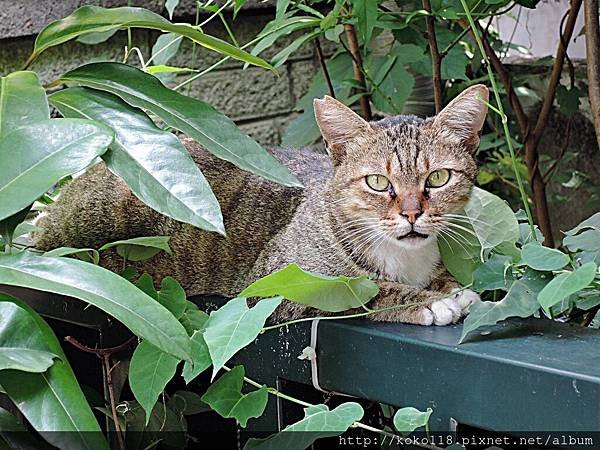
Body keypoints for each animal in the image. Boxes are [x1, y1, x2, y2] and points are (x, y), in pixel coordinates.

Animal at [32, 83, 488, 324]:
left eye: (438, 178)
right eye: (378, 182)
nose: (412, 213)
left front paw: (449, 287)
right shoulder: (273, 283)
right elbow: (361, 288)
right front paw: (427, 301)